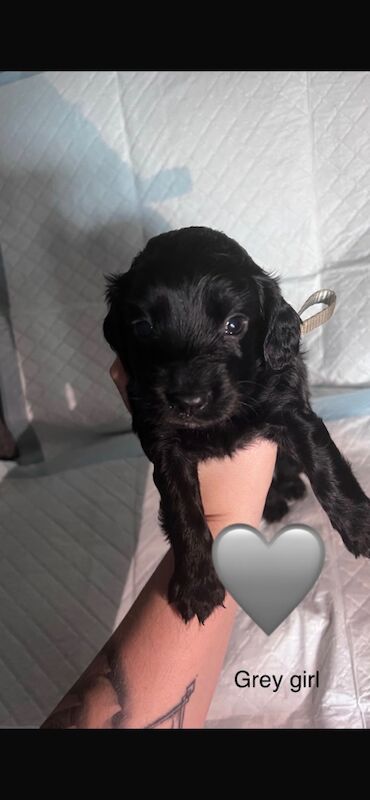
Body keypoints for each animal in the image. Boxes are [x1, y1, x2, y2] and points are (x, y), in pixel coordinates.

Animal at [103, 228, 370, 620]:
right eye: (143, 327)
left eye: (234, 325)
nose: (189, 401)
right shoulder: (162, 439)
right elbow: (182, 508)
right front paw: (197, 584)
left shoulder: (289, 407)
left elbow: (327, 467)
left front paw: (362, 527)